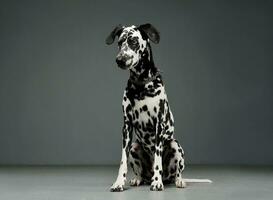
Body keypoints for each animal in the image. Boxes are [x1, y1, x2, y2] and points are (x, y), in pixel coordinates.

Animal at [105, 24, 209, 191]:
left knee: (177, 172)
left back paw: (176, 180)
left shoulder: (159, 124)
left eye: (133, 41)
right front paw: (119, 182)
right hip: (134, 147)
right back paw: (138, 179)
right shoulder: (126, 127)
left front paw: (157, 182)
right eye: (119, 42)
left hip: (175, 145)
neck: (141, 85)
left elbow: (158, 158)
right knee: (140, 172)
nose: (119, 59)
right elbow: (123, 160)